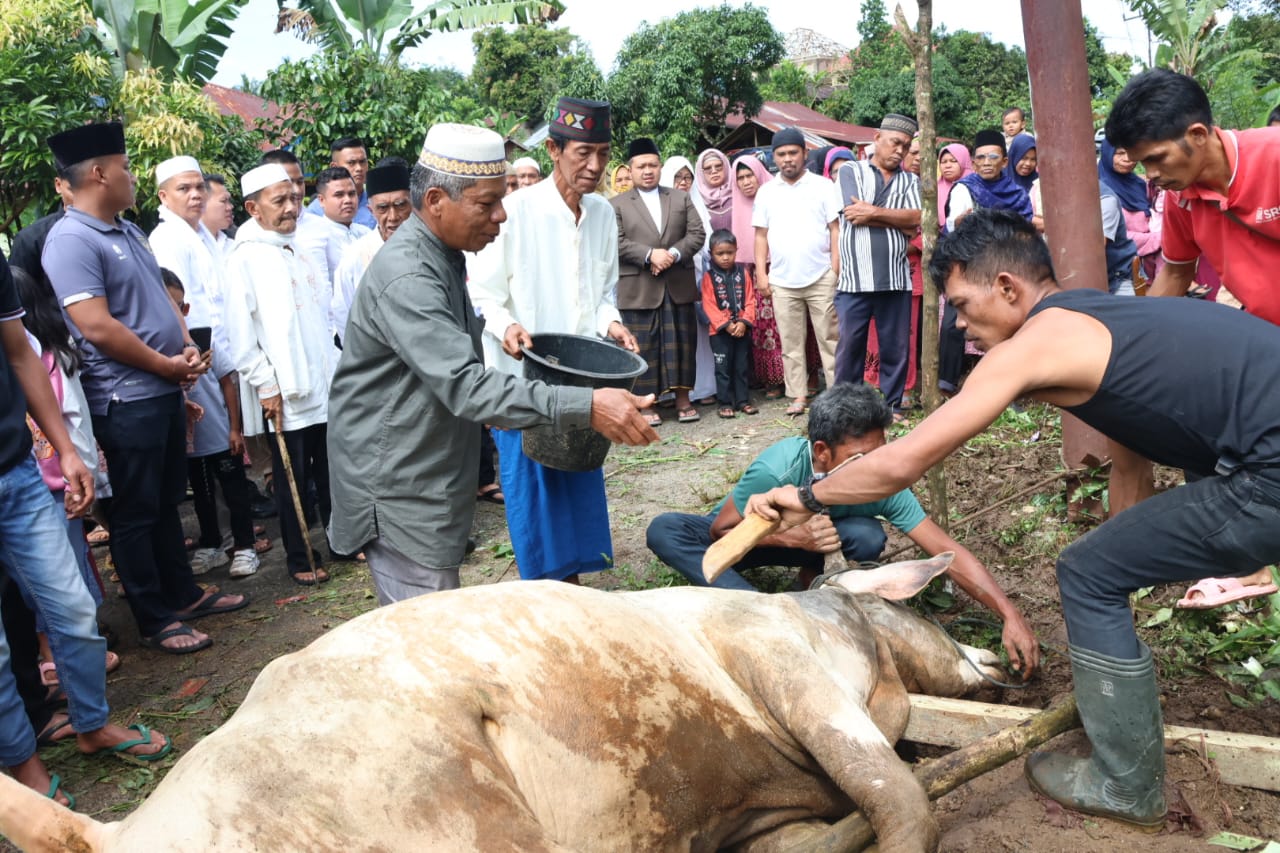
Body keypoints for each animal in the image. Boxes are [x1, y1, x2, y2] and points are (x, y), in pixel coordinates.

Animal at [2, 550, 998, 850]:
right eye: (930, 608)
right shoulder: (774, 659)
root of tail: (111, 834)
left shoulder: (763, 815)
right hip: (458, 813)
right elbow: (901, 798)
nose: (999, 658)